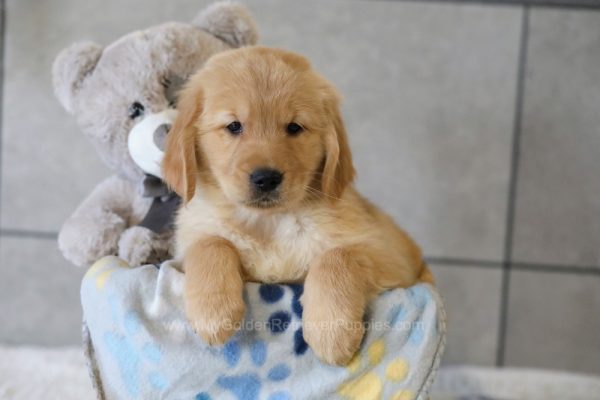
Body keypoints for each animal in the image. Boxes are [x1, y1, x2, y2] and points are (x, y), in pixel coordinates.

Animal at [162, 46, 434, 366]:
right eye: (234, 126)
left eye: (294, 127)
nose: (266, 178)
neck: (268, 224)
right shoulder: (187, 245)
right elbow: (211, 243)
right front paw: (213, 312)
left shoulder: (393, 256)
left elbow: (337, 256)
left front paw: (332, 330)